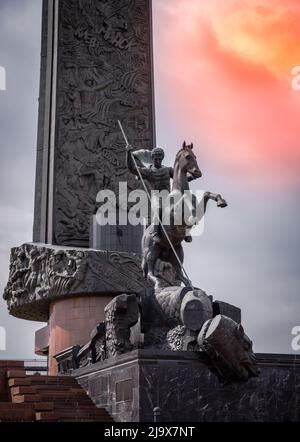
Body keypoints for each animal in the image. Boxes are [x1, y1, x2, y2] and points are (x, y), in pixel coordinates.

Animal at [141, 141, 227, 286]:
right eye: (187, 156)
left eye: (195, 156)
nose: (197, 173)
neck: (180, 190)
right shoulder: (174, 214)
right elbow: (186, 205)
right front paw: (192, 218)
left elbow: (205, 194)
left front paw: (221, 201)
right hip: (151, 250)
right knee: (150, 272)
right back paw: (158, 282)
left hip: (177, 253)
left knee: (178, 273)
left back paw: (191, 286)